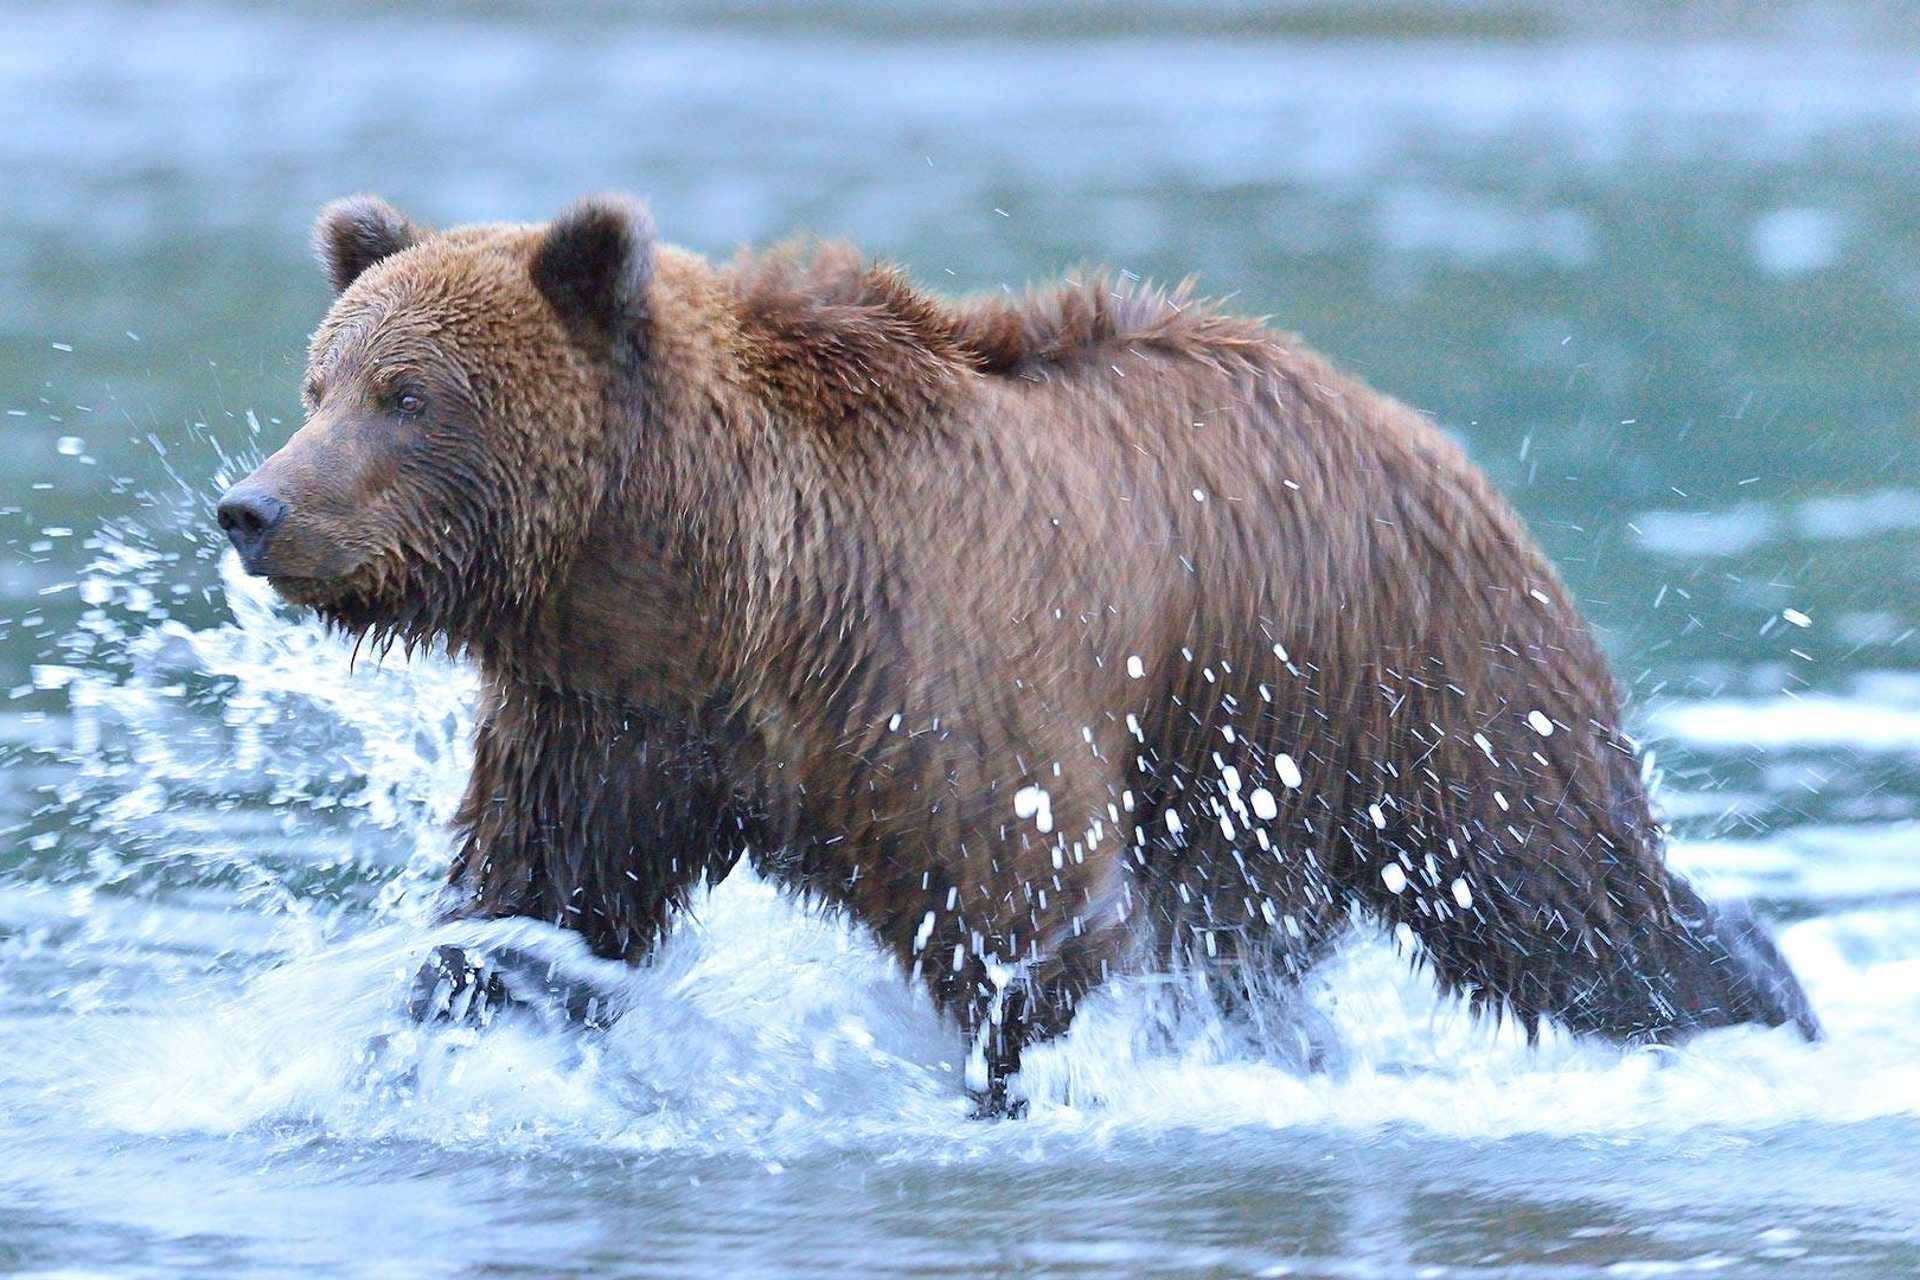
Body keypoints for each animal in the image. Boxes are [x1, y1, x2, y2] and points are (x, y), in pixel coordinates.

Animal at [220, 192, 1812, 1120]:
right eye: (318, 378)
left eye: (407, 393)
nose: (257, 507)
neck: (717, 586)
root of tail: (1416, 427)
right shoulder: (612, 727)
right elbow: (533, 908)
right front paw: (417, 1047)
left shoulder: (930, 686)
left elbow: (1024, 922)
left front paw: (1030, 1079)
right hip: (1249, 763)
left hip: (1413, 677)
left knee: (1553, 892)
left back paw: (1762, 995)